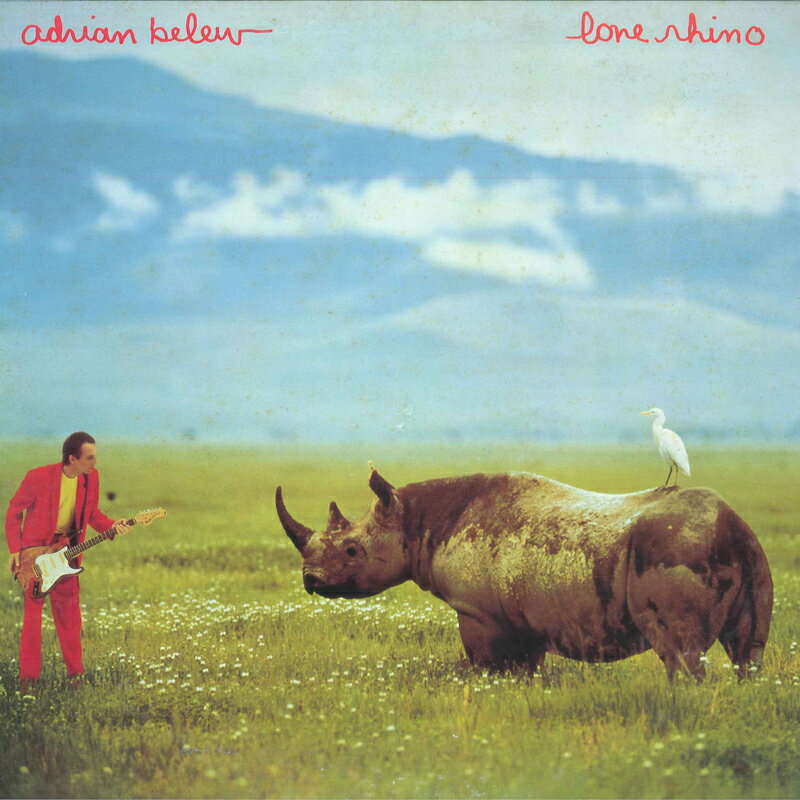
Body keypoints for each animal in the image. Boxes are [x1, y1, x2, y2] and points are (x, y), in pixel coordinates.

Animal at [276, 467, 772, 680]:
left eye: (352, 550)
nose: (311, 580)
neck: (415, 521)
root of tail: (734, 525)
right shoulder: (522, 616)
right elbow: (525, 669)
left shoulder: (478, 613)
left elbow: (486, 666)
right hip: (747, 554)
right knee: (747, 652)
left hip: (676, 547)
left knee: (680, 653)